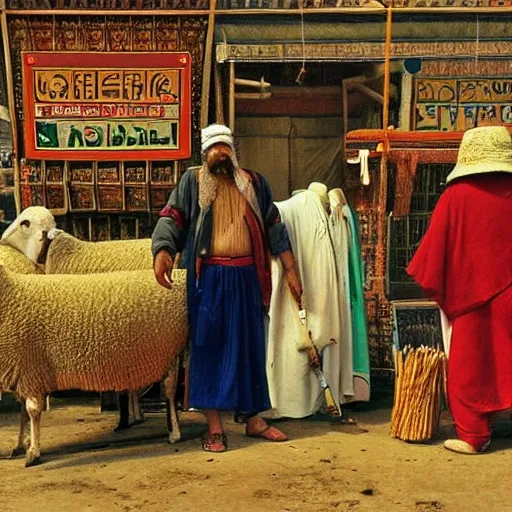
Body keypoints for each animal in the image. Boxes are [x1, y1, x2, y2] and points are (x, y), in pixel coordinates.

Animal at [0, 264, 188, 468]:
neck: (10, 292)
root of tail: (181, 273)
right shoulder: (22, 369)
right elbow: (23, 412)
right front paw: (21, 444)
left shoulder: (31, 368)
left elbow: (32, 410)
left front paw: (33, 453)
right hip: (170, 352)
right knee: (171, 391)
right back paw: (173, 428)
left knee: (171, 392)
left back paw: (175, 433)